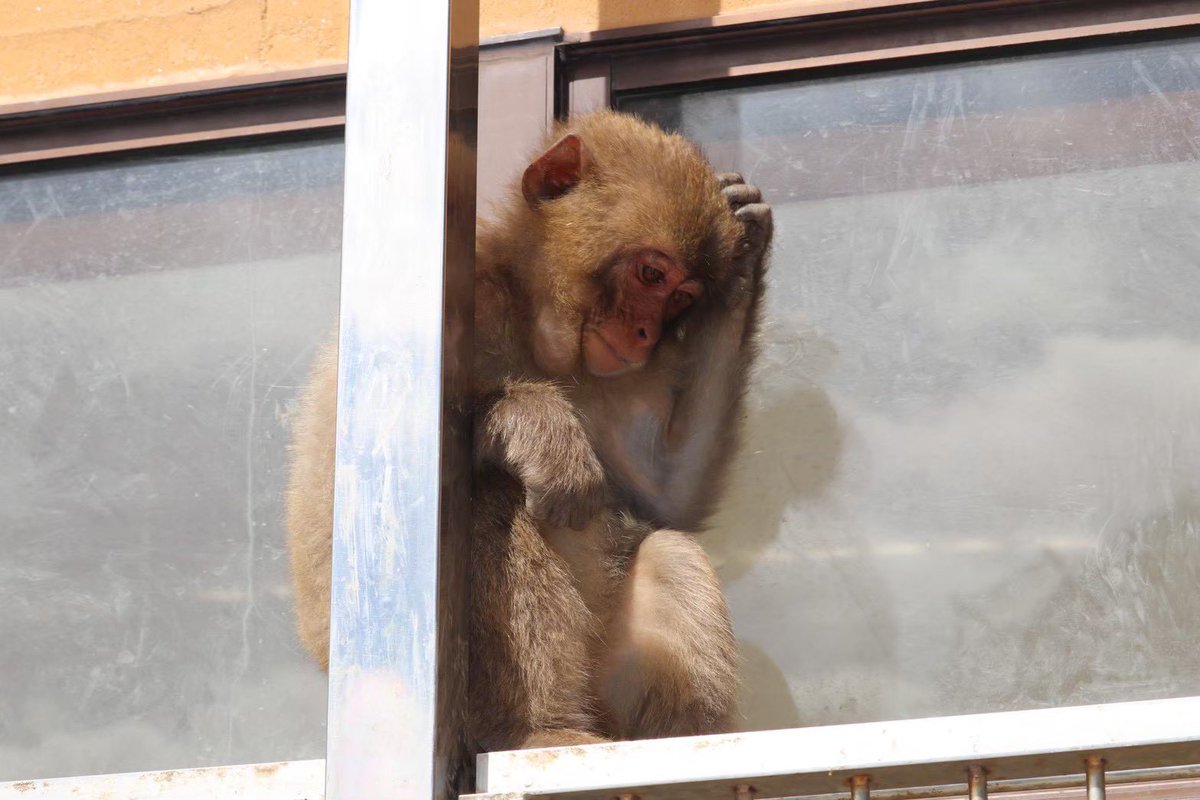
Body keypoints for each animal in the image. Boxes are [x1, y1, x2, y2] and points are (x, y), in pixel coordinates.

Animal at [285, 109, 772, 753]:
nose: (645, 333)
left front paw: (748, 242)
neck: (531, 320)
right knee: (496, 494)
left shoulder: (611, 379)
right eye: (650, 273)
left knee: (668, 550)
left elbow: (668, 492)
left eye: (681, 297)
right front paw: (536, 421)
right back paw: (539, 731)